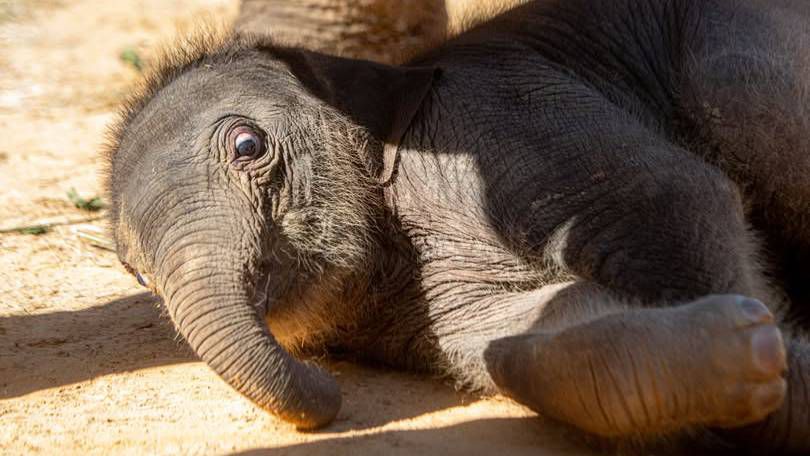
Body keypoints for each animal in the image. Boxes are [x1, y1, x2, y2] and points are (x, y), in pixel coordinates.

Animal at [107, 0, 808, 450]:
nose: (329, 391)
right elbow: (524, 331)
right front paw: (749, 356)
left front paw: (776, 362)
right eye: (136, 274)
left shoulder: (503, 111)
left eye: (247, 145)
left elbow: (672, 200)